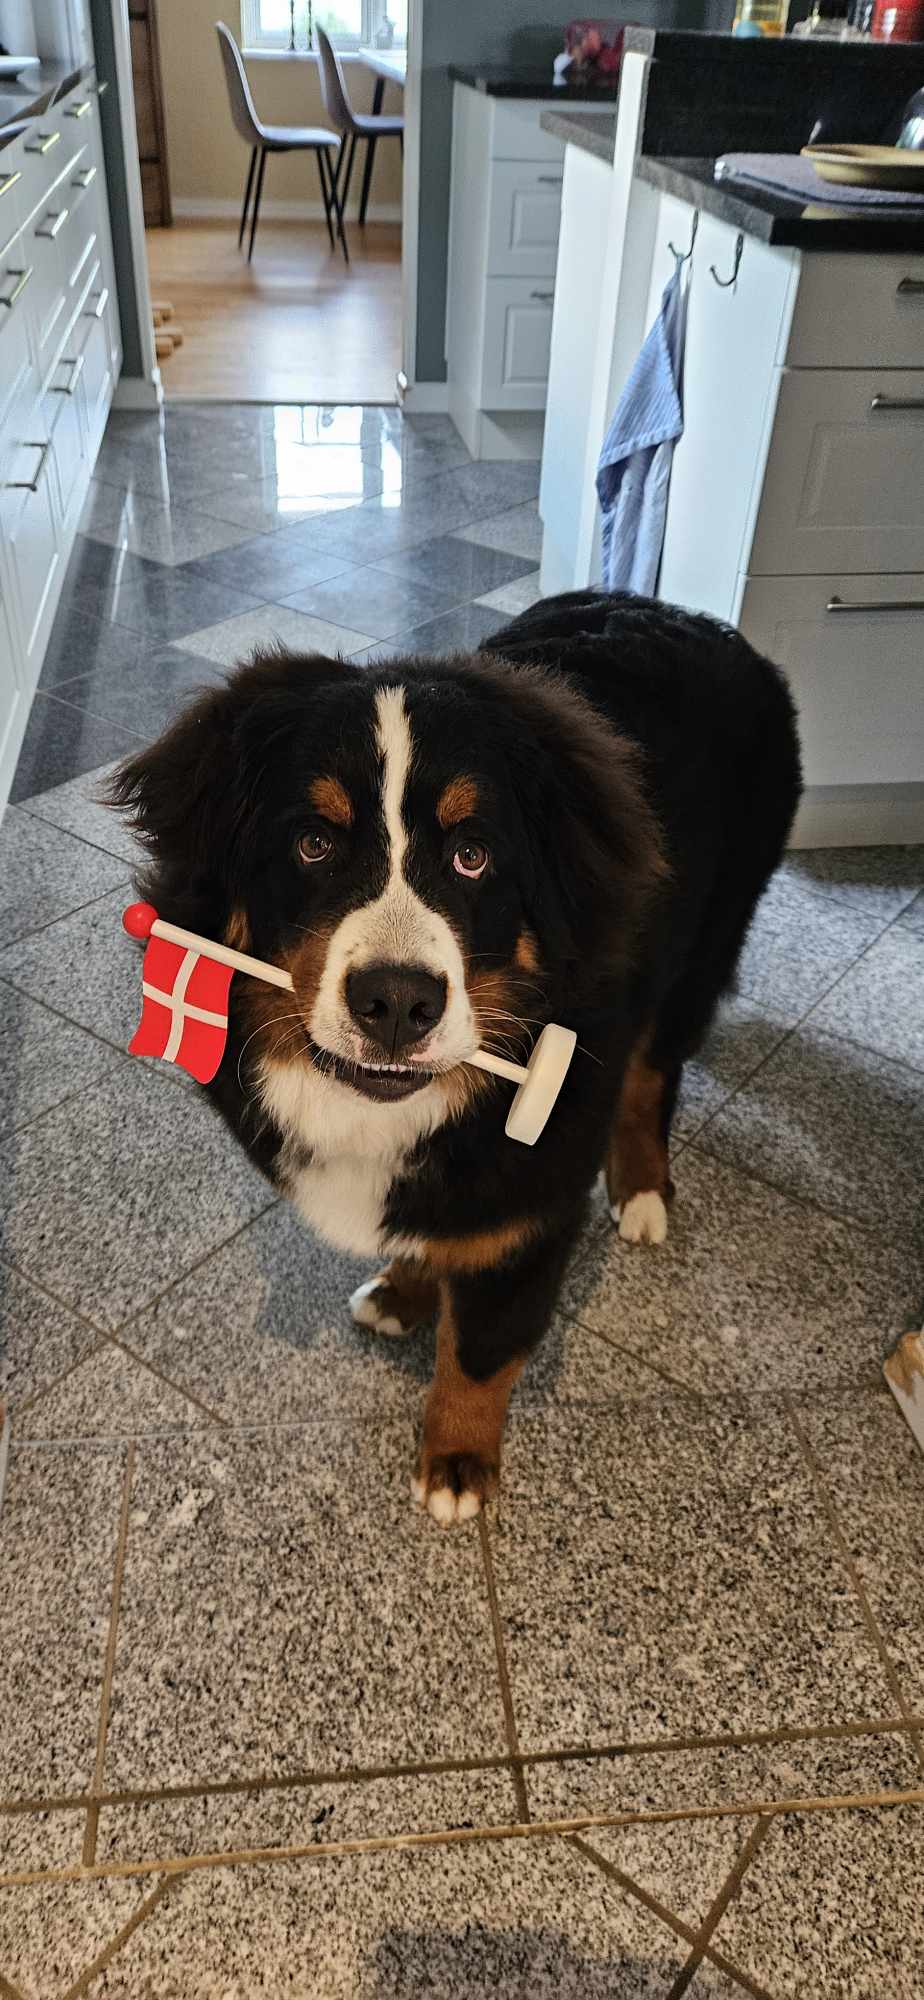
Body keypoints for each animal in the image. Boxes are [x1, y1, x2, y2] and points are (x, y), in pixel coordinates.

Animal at [111, 589, 801, 1524]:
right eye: (313, 845)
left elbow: (482, 1352)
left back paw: (644, 1190)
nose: (398, 1001)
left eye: (473, 855)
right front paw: (405, 1287)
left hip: (703, 946)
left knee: (655, 1074)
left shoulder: (532, 1206)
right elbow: (430, 1236)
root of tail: (687, 614)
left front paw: (459, 1464)